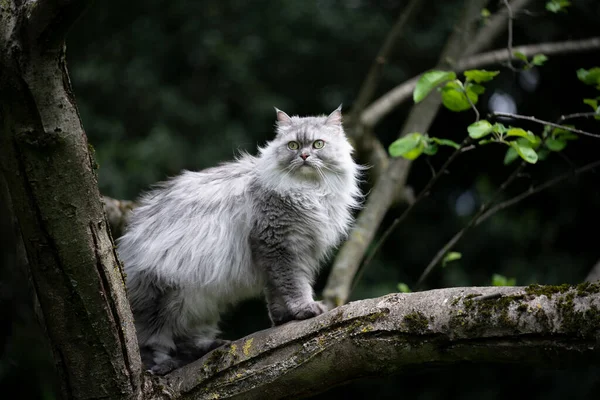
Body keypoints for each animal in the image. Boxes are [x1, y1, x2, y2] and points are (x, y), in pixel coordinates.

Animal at [117, 106, 360, 376]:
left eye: (318, 144)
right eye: (293, 145)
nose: (305, 156)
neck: (309, 191)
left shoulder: (283, 252)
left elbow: (276, 292)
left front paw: (284, 318)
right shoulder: (278, 247)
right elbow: (294, 285)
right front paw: (304, 309)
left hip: (197, 304)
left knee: (184, 340)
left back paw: (208, 347)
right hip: (166, 297)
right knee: (151, 342)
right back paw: (164, 366)